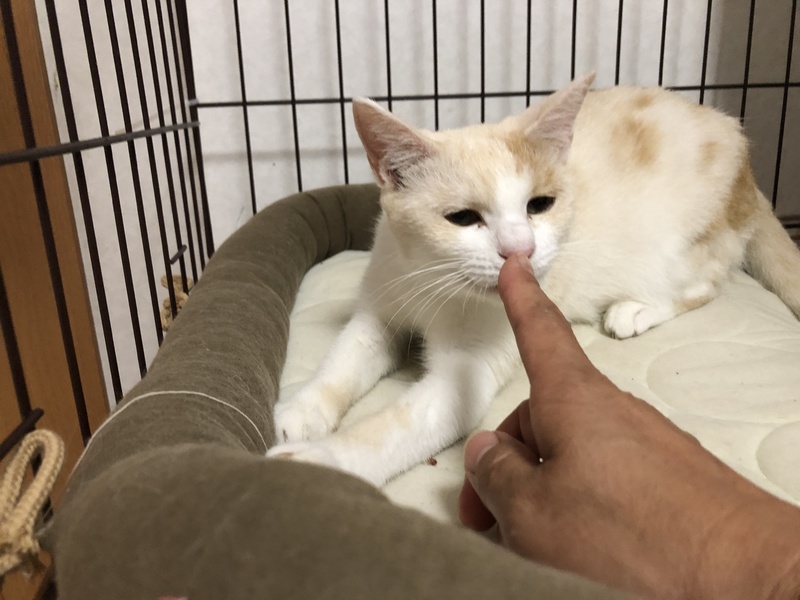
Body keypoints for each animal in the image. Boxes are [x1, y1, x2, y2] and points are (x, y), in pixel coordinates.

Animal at [266, 74, 800, 486]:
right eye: (462, 218)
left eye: (540, 205)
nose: (520, 250)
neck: (437, 283)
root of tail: (747, 161)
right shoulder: (382, 302)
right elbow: (346, 355)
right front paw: (305, 410)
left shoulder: (468, 371)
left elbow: (400, 425)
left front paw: (318, 464)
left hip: (683, 246)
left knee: (705, 285)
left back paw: (635, 309)